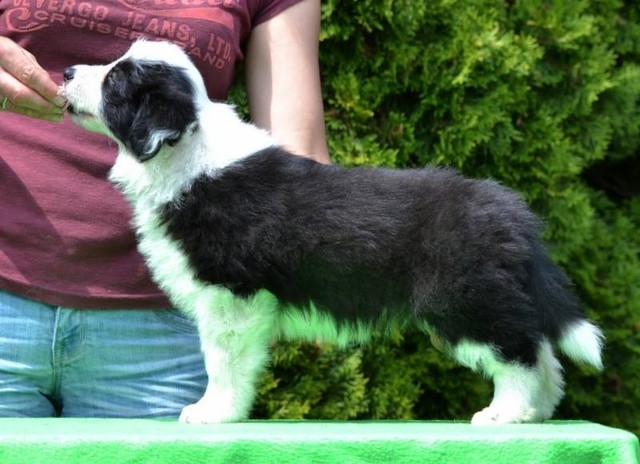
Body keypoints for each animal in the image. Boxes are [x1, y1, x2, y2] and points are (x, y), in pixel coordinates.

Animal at [62, 40, 604, 425]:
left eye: (115, 81)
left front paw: (213, 413)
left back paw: (504, 413)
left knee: (519, 351)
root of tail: (512, 210)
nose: (65, 72)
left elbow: (223, 359)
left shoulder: (231, 293)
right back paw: (535, 413)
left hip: (463, 297)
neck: (189, 155)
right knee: (541, 351)